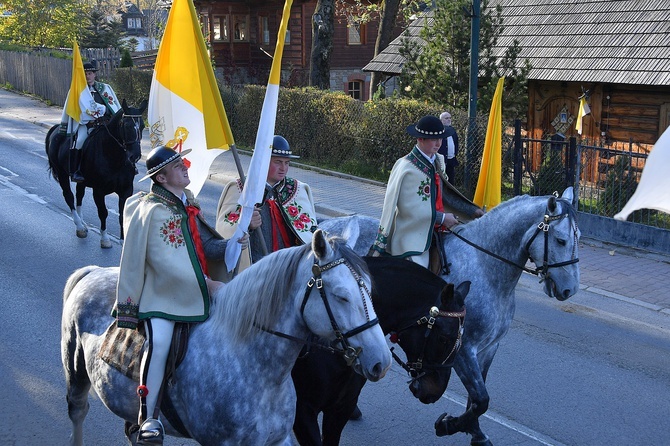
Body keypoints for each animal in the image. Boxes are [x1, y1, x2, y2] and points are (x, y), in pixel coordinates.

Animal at [46, 99, 148, 249]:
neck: (113, 156)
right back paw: (79, 227)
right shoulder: (98, 191)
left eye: (142, 126)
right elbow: (103, 212)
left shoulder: (126, 189)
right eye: (126, 125)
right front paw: (105, 239)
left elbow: (122, 213)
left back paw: (83, 223)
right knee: (69, 196)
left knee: (79, 195)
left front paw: (123, 241)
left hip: (81, 180)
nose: (135, 156)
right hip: (62, 174)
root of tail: (56, 129)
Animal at [61, 230, 394, 446]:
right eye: (341, 296)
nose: (382, 362)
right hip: (76, 372)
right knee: (78, 411)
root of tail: (92, 272)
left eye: (370, 289)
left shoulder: (278, 439)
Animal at [320, 188, 584, 446]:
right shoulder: (464, 350)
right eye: (561, 240)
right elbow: (481, 398)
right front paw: (450, 426)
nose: (569, 290)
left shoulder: (489, 348)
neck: (486, 267)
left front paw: (475, 432)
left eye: (578, 237)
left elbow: (476, 396)